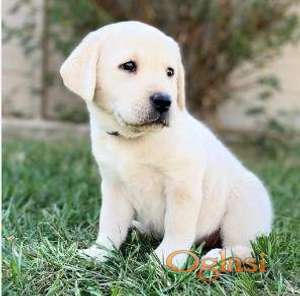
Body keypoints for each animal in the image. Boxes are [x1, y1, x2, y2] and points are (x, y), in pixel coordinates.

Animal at [60, 20, 272, 266]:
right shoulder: (114, 185)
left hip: (244, 204)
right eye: (128, 66)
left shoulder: (182, 186)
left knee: (248, 249)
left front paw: (166, 258)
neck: (134, 138)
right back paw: (140, 228)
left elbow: (177, 225)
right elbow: (110, 223)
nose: (164, 101)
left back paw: (216, 258)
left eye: (170, 72)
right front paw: (99, 252)